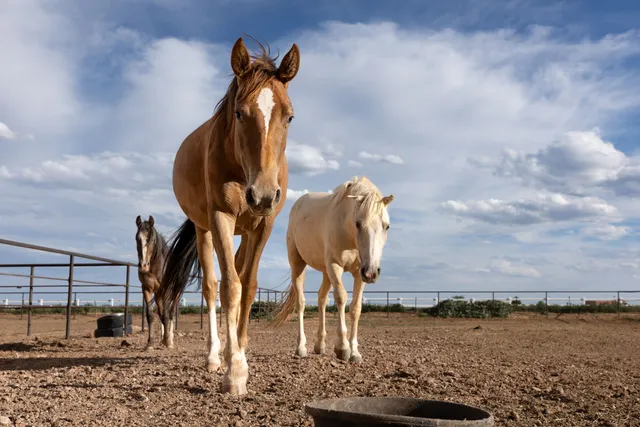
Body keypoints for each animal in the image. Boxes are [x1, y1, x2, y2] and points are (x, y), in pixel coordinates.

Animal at [135, 215, 172, 351]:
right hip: (158, 295)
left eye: (150, 240)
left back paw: (170, 339)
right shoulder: (147, 289)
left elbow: (166, 315)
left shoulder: (166, 290)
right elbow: (151, 315)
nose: (143, 266)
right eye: (137, 239)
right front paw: (150, 343)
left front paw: (168, 342)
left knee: (170, 314)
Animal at [158, 37, 300, 395]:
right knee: (212, 285)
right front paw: (234, 372)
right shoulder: (221, 217)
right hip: (203, 227)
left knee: (233, 272)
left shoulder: (263, 225)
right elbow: (229, 288)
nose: (263, 194)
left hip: (245, 230)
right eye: (238, 112)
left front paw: (242, 353)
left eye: (289, 117)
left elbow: (248, 287)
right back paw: (214, 356)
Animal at [271, 176, 394, 363]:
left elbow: (356, 308)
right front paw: (342, 347)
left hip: (325, 271)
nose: (371, 272)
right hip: (298, 264)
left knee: (322, 299)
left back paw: (319, 345)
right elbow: (341, 298)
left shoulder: (359, 273)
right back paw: (301, 348)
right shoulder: (335, 266)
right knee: (301, 303)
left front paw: (355, 352)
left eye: (386, 226)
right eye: (358, 224)